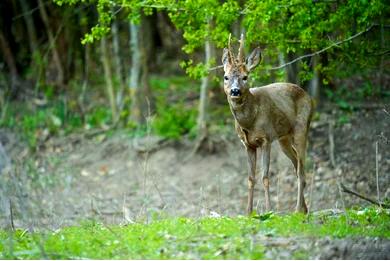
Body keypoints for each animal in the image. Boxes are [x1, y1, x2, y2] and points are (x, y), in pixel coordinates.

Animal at [222, 34, 314, 213]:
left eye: (245, 77)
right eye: (226, 77)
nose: (235, 91)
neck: (250, 121)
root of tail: (308, 96)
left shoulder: (266, 138)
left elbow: (265, 177)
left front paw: (269, 210)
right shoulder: (247, 144)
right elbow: (250, 178)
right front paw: (248, 212)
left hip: (302, 129)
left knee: (301, 170)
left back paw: (297, 210)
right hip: (284, 139)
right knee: (297, 166)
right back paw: (304, 210)